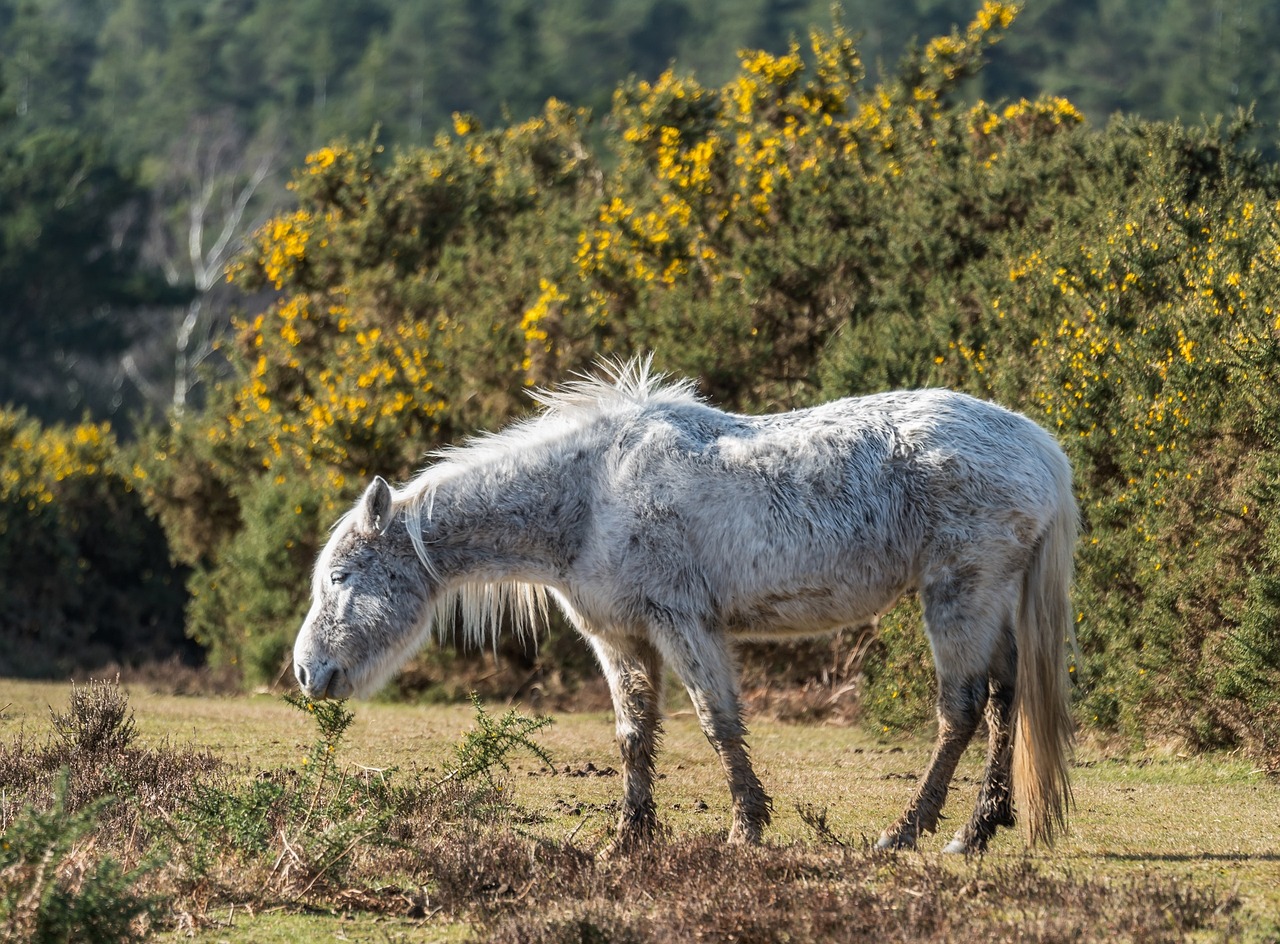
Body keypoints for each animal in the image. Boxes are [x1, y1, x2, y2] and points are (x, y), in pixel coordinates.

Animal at [292, 358, 1077, 854]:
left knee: (961, 710)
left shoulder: (683, 623)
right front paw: (628, 838)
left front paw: (745, 829)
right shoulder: (619, 638)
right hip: (989, 599)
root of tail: (1041, 449)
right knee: (1005, 698)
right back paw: (980, 829)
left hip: (958, 594)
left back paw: (911, 833)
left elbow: (716, 722)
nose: (307, 674)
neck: (588, 495)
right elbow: (634, 733)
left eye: (340, 578)